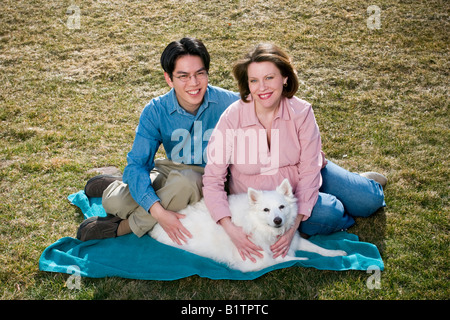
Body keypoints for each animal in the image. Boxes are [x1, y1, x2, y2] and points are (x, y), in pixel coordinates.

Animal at [149, 179, 346, 272]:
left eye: (282, 207)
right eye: (266, 210)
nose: (278, 220)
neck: (260, 227)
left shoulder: (294, 240)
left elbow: (319, 248)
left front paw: (337, 253)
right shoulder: (254, 261)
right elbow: (284, 259)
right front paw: (304, 259)